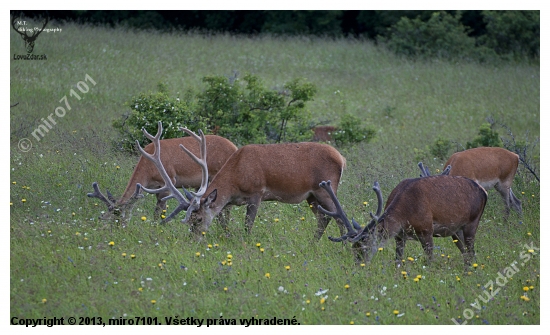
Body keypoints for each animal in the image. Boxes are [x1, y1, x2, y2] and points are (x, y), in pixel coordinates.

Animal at [87, 122, 238, 226]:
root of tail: (235, 147)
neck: (148, 169)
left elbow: (159, 213)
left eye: (119, 219)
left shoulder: (168, 181)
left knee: (227, 206)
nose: (117, 231)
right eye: (111, 219)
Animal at [139, 123, 350, 239]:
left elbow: (248, 224)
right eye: (189, 219)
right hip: (312, 196)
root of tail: (341, 158)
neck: (236, 177)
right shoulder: (229, 201)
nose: (193, 239)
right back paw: (314, 242)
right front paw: (227, 236)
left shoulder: (257, 192)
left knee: (339, 216)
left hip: (325, 189)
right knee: (324, 218)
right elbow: (223, 221)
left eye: (198, 219)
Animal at [316, 176, 490, 268]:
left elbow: (430, 260)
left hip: (472, 221)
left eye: (365, 247)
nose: (358, 266)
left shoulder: (426, 229)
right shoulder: (400, 235)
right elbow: (398, 260)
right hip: (456, 230)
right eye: (353, 248)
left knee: (471, 252)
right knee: (466, 254)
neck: (405, 213)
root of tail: (484, 191)